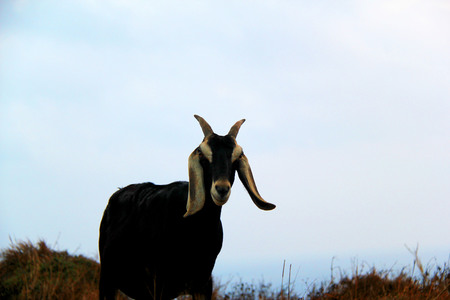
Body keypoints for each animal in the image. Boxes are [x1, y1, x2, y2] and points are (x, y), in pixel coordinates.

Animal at [98, 115, 274, 300]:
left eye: (237, 157)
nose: (221, 189)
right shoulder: (160, 283)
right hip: (108, 279)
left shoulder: (202, 283)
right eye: (203, 155)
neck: (193, 228)